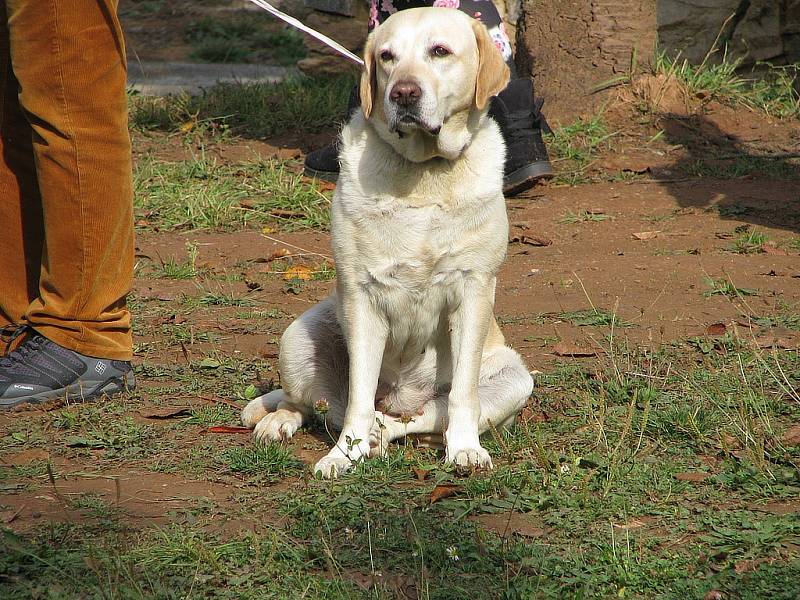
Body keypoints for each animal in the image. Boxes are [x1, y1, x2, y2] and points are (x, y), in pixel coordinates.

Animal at [241, 7, 536, 478]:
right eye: (387, 57)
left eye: (440, 51)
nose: (403, 93)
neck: (424, 175)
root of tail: (400, 397)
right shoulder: (361, 296)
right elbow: (357, 397)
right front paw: (343, 455)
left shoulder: (474, 290)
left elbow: (461, 396)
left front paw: (465, 450)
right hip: (298, 336)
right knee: (320, 403)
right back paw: (282, 421)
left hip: (513, 377)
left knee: (421, 418)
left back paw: (392, 434)